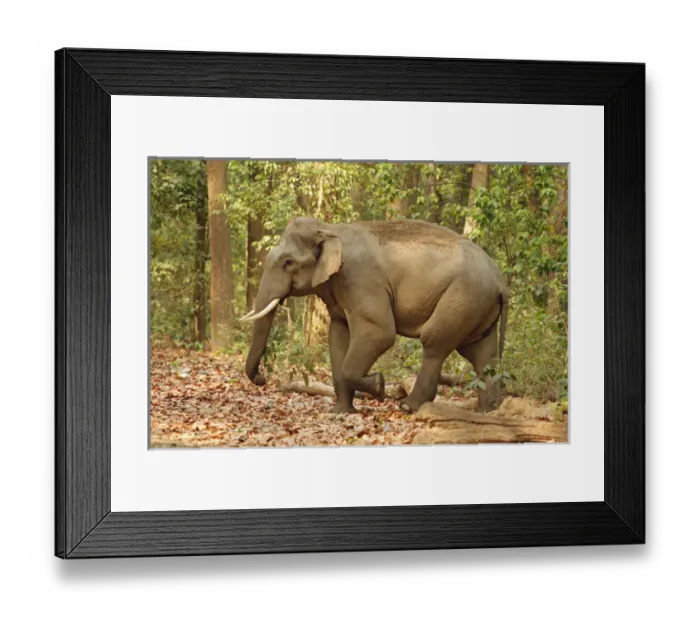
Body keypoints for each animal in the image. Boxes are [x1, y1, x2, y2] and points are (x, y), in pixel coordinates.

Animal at [243, 216, 509, 414]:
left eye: (288, 262)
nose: (262, 379)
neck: (331, 229)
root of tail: (500, 280)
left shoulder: (362, 280)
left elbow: (380, 333)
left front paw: (379, 387)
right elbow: (337, 337)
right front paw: (341, 412)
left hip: (463, 296)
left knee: (435, 341)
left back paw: (408, 406)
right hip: (478, 306)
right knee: (481, 354)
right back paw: (488, 410)